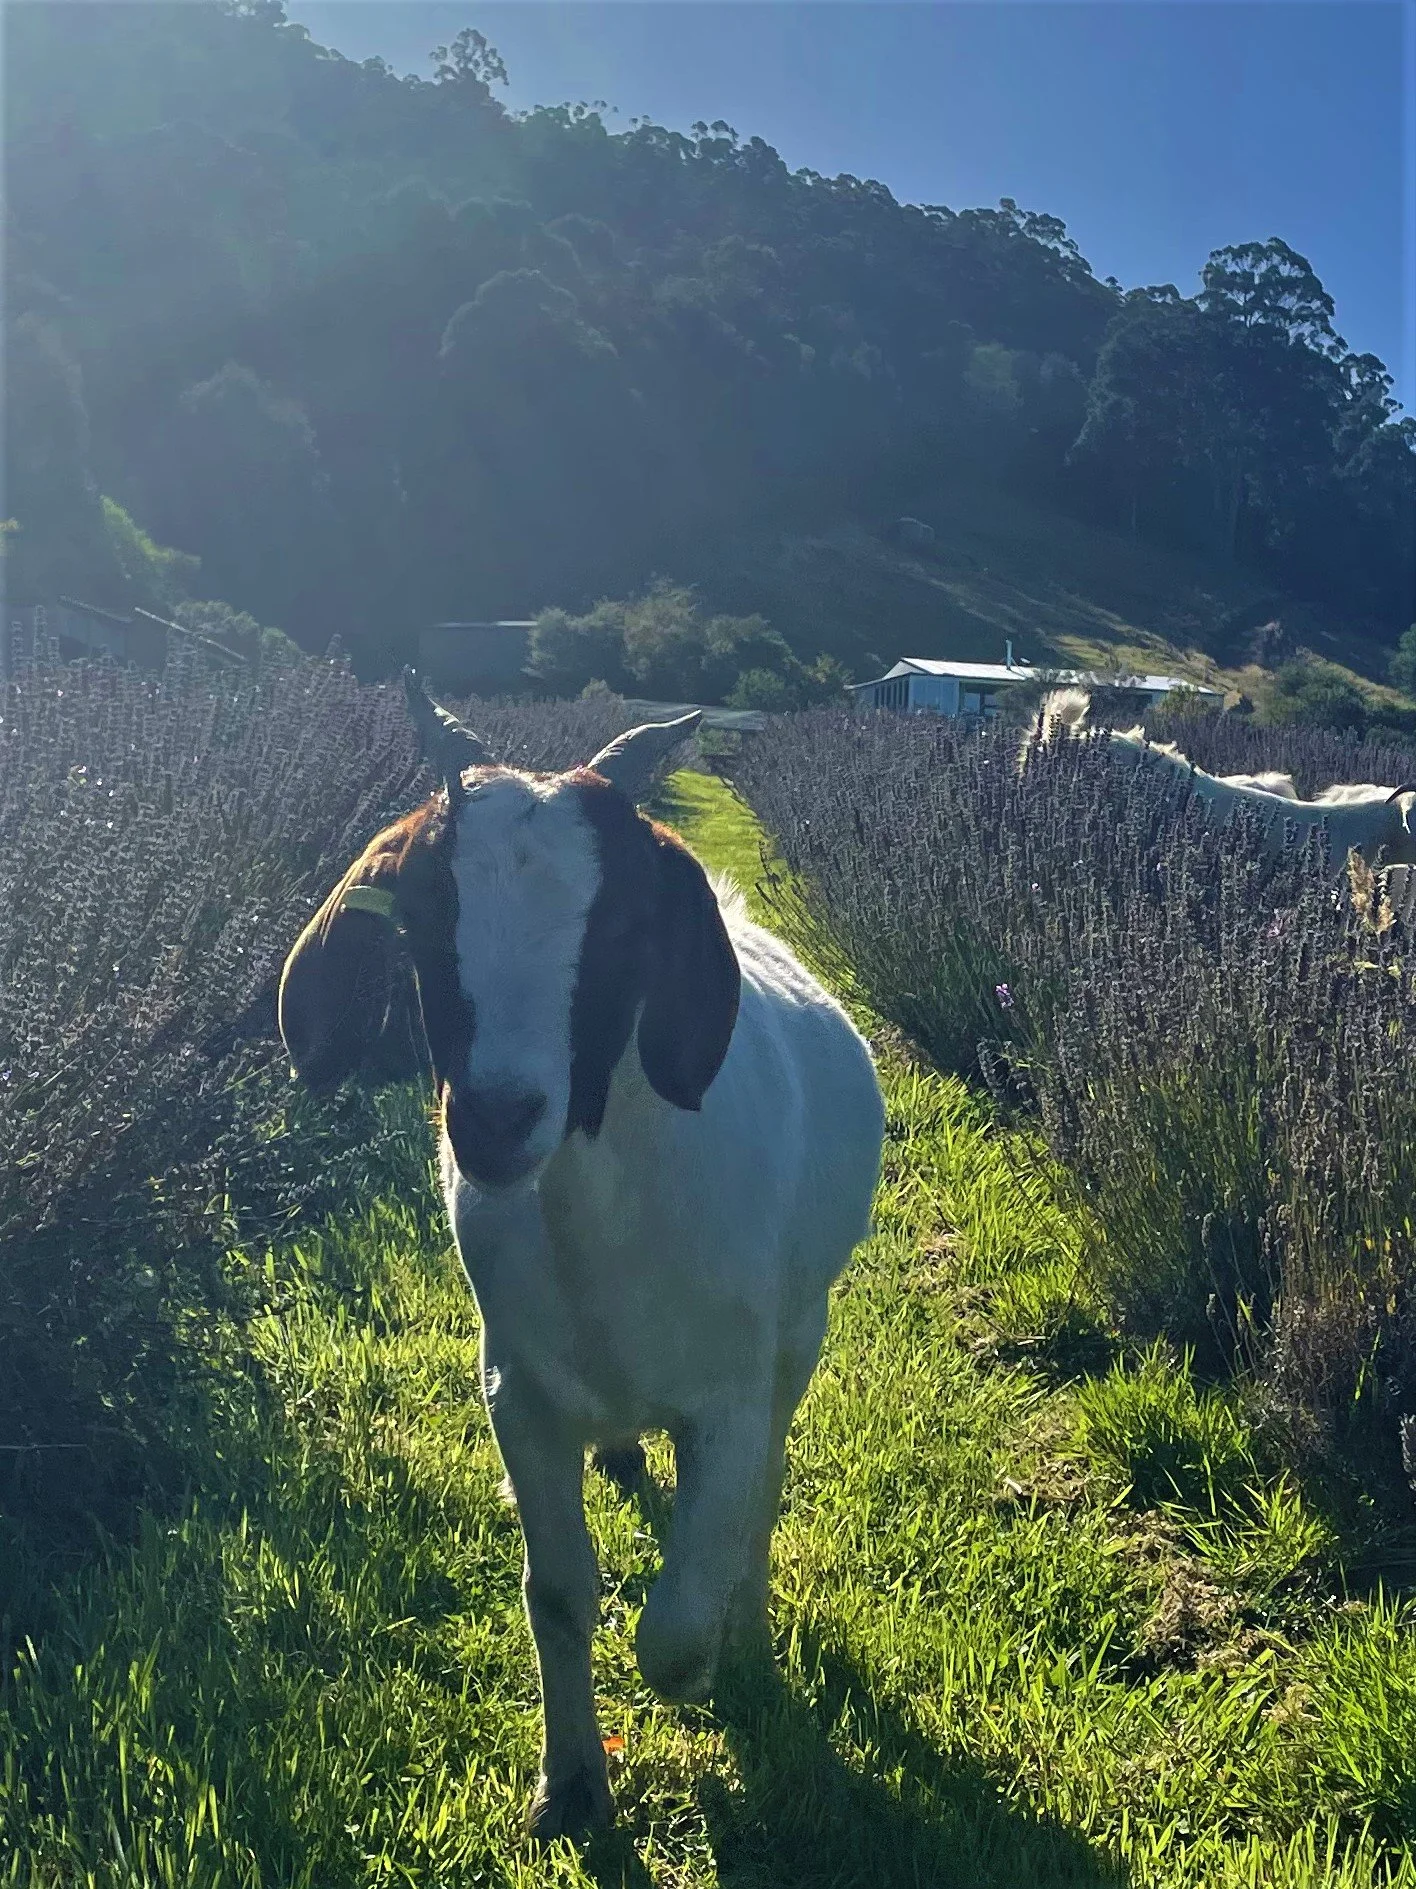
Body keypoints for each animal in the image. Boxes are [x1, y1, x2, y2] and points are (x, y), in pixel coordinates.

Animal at [278, 672, 885, 1841]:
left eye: (622, 926)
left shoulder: (731, 1394)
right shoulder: (517, 1387)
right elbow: (558, 1591)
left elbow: (678, 1622)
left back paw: (747, 1630)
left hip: (802, 1333)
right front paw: (570, 1784)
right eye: (424, 915)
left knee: (767, 1488)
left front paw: (712, 1666)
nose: (495, 1118)